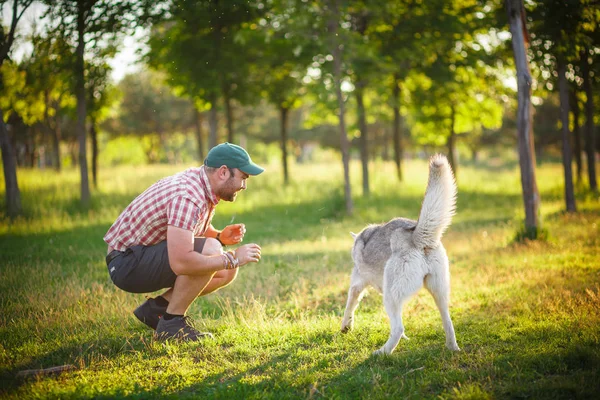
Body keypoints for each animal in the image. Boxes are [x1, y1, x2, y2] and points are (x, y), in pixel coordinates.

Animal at [340, 155, 462, 354]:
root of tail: (416, 235)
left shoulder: (357, 284)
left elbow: (349, 307)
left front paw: (345, 327)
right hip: (439, 293)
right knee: (448, 323)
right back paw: (453, 348)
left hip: (391, 296)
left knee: (398, 328)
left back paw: (382, 353)